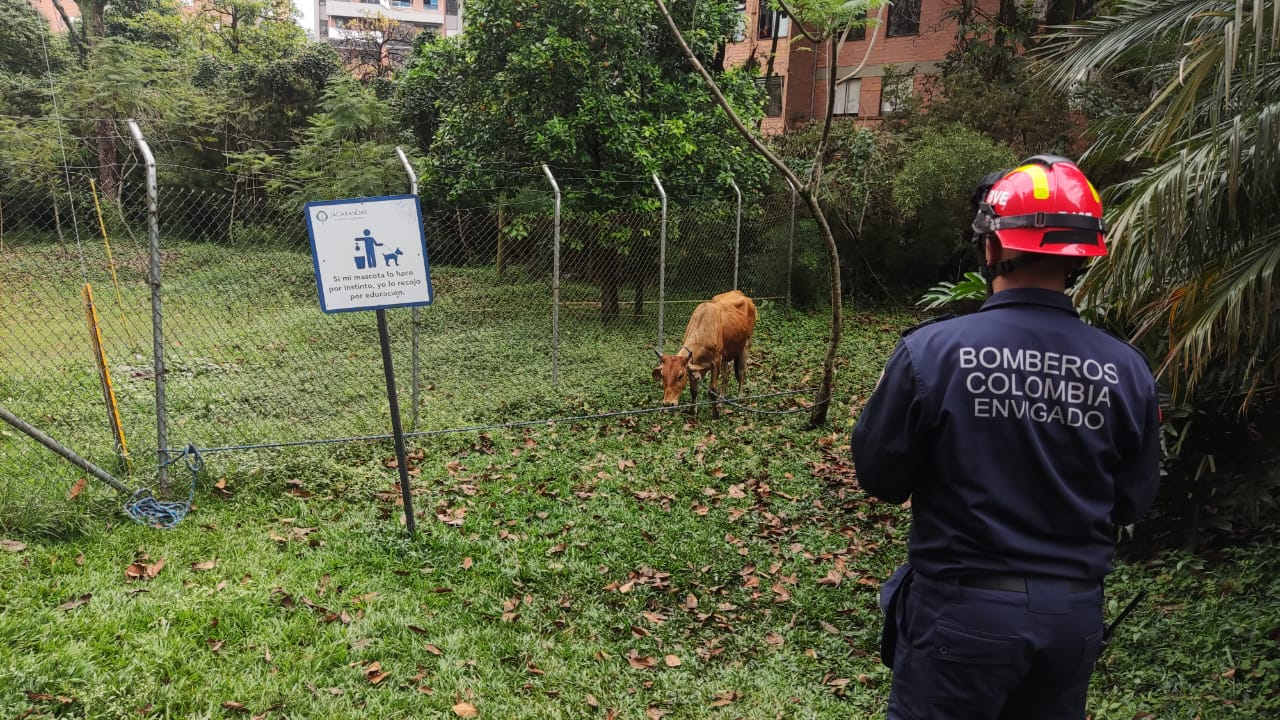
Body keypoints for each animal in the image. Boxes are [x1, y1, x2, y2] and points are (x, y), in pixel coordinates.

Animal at [655, 288, 752, 417]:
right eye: (662, 375)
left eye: (680, 376)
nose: (668, 404)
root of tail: (741, 294)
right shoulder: (695, 365)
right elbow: (694, 390)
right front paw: (692, 411)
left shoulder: (716, 362)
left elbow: (712, 390)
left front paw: (715, 414)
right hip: (726, 356)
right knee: (726, 376)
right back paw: (721, 402)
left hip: (745, 347)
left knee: (741, 373)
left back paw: (739, 399)